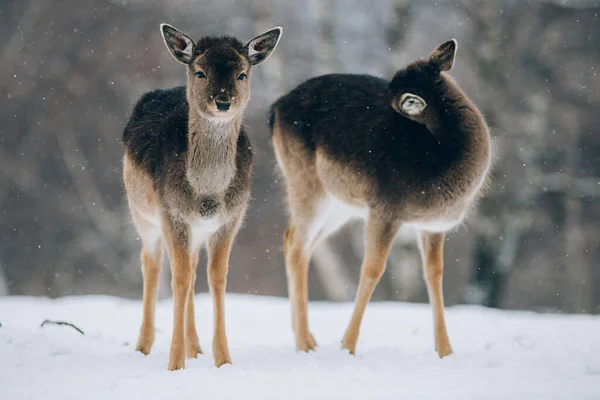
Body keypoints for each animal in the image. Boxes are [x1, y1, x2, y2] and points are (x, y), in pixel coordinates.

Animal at [122, 24, 284, 368]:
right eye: (200, 72)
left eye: (242, 74)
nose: (222, 102)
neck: (207, 195)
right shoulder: (171, 213)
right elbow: (179, 280)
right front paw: (175, 362)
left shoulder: (231, 218)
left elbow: (216, 278)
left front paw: (222, 359)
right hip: (141, 212)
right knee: (151, 262)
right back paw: (144, 345)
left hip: (192, 230)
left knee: (192, 265)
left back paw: (195, 347)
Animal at [270, 39, 490, 358]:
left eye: (394, 91)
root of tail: (275, 109)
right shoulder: (385, 209)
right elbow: (372, 268)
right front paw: (347, 346)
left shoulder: (433, 225)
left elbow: (434, 273)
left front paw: (445, 351)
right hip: (306, 184)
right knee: (297, 245)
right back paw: (303, 343)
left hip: (339, 205)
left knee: (298, 242)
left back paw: (308, 338)